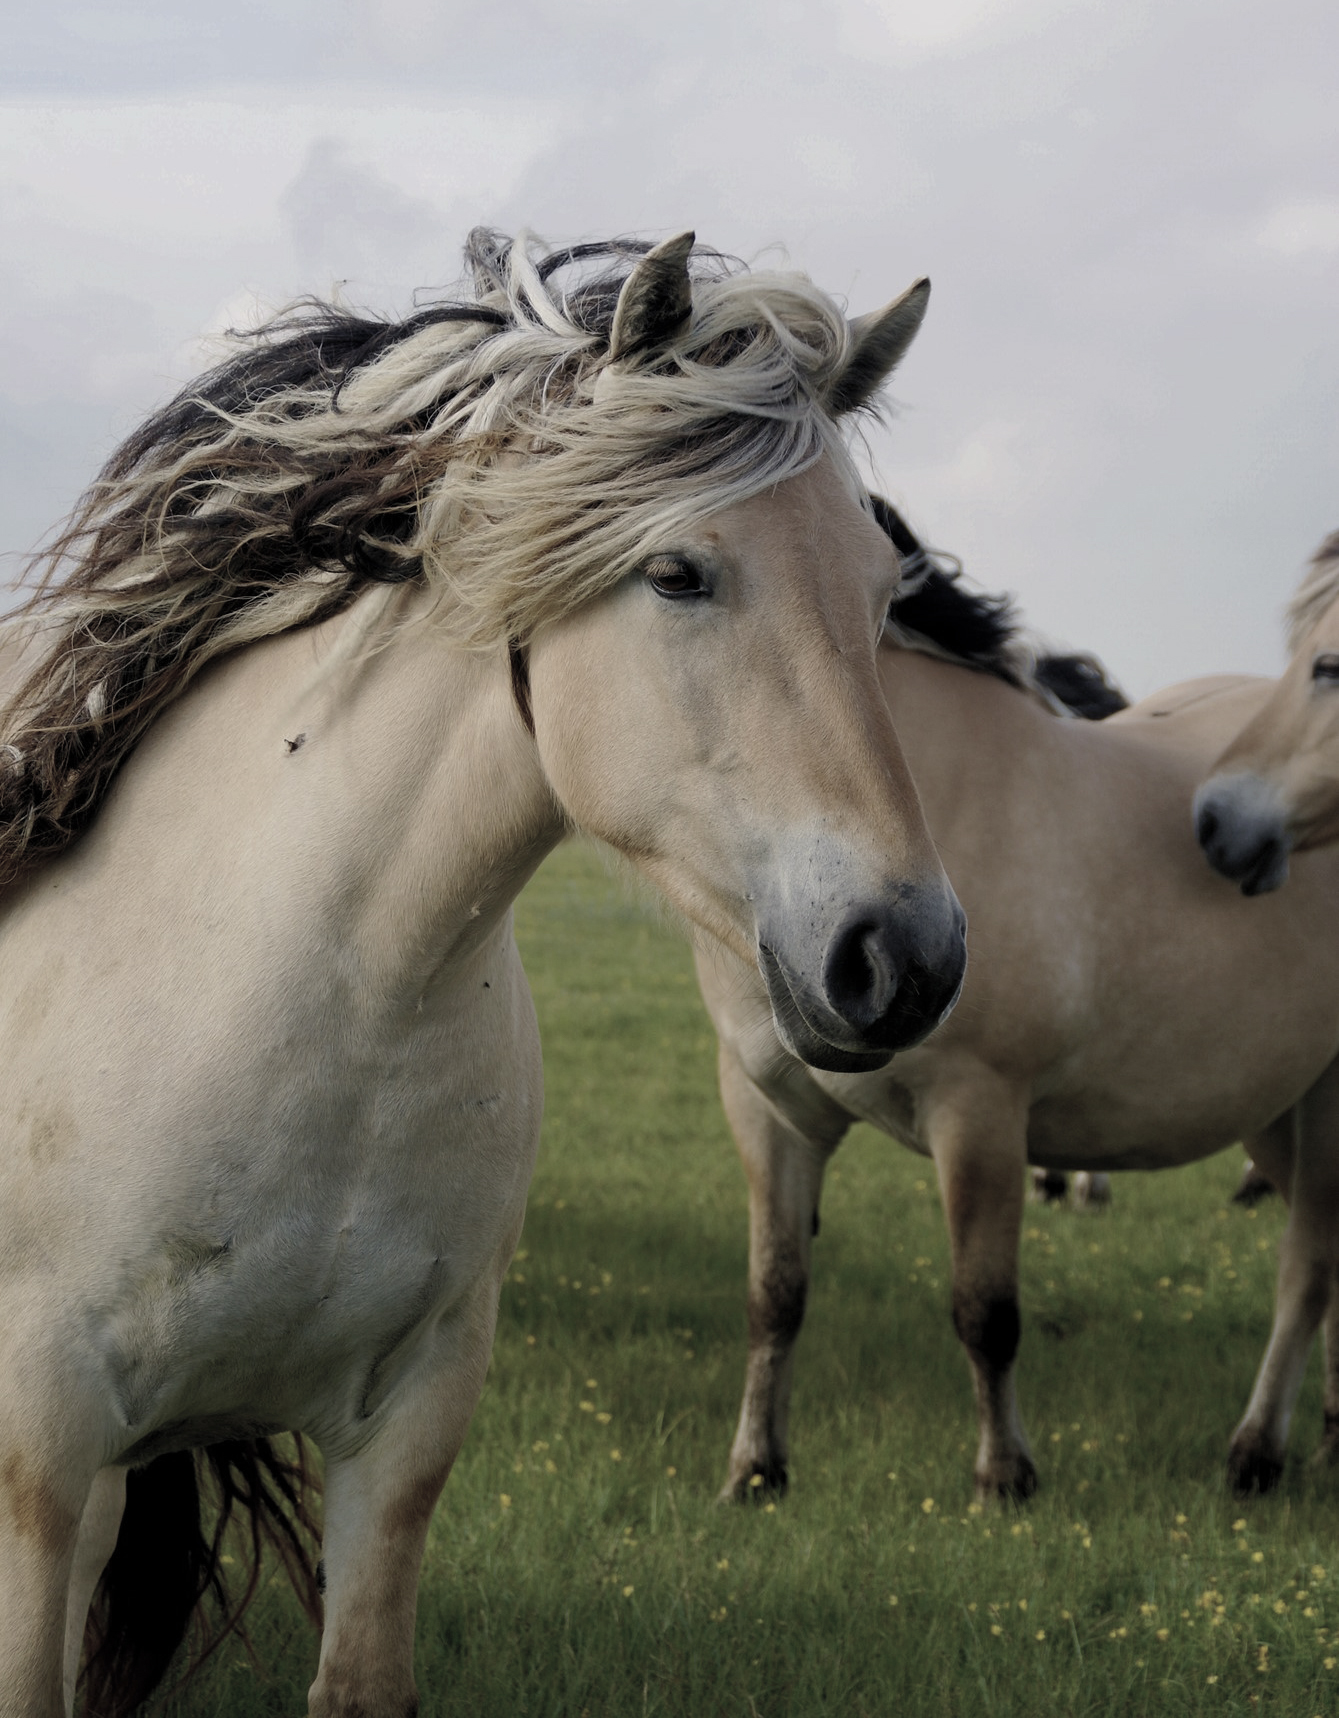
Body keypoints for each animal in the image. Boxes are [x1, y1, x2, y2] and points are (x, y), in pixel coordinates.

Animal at [0, 238, 976, 1718]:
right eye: (677, 572)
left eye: (877, 592)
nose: (904, 956)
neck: (313, 1000)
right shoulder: (46, 1454)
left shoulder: (405, 1426)